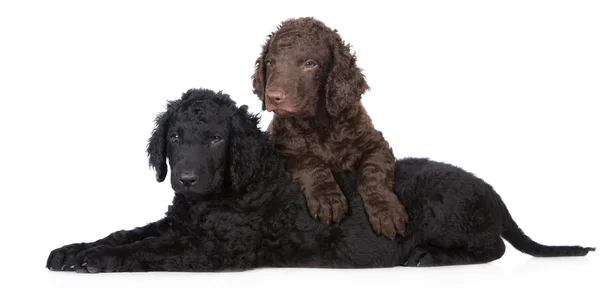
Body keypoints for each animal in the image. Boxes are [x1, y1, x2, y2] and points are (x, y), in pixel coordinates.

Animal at [45, 88, 592, 272]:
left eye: (218, 138)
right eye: (176, 136)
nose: (187, 178)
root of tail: (490, 188)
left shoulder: (218, 248)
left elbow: (148, 249)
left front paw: (98, 261)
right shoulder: (181, 223)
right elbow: (128, 232)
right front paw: (74, 249)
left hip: (444, 211)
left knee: (492, 247)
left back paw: (428, 257)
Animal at [248, 17, 408, 238]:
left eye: (310, 64)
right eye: (270, 63)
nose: (273, 97)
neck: (319, 125)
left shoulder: (377, 145)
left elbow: (372, 172)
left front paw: (386, 211)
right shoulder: (282, 150)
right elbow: (310, 161)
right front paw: (328, 198)